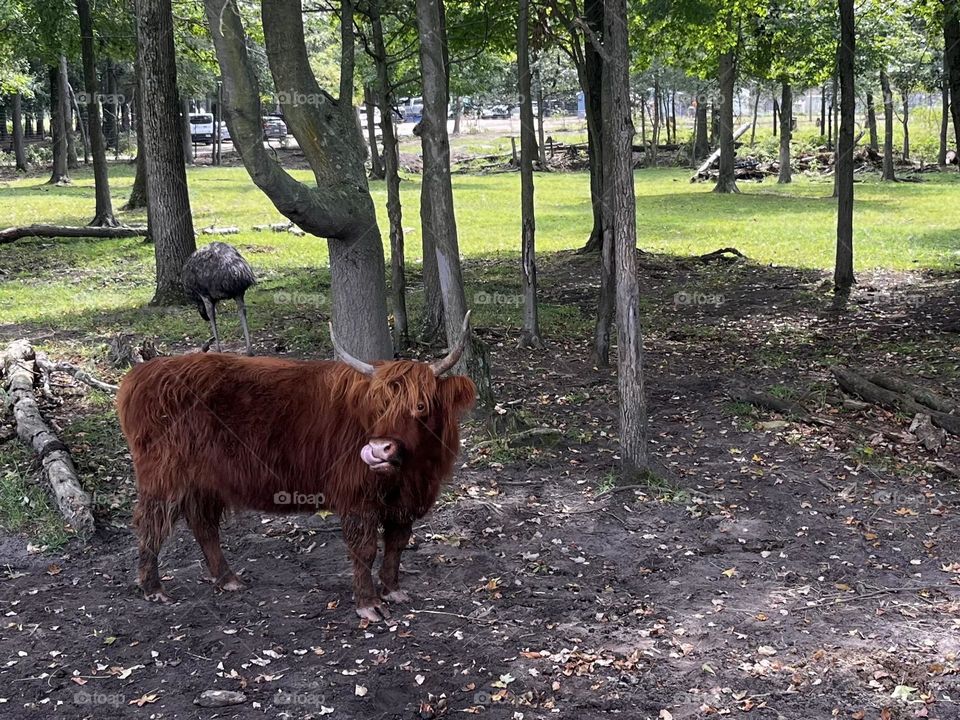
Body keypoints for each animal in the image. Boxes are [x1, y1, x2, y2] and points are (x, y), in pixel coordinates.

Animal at [116, 314, 476, 621]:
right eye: (379, 406)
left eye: (421, 405)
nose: (376, 450)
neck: (410, 473)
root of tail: (140, 374)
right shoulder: (356, 496)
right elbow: (365, 549)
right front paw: (369, 604)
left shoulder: (406, 501)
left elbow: (396, 544)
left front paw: (392, 590)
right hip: (162, 474)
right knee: (151, 522)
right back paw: (153, 588)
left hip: (204, 479)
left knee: (203, 524)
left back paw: (227, 578)